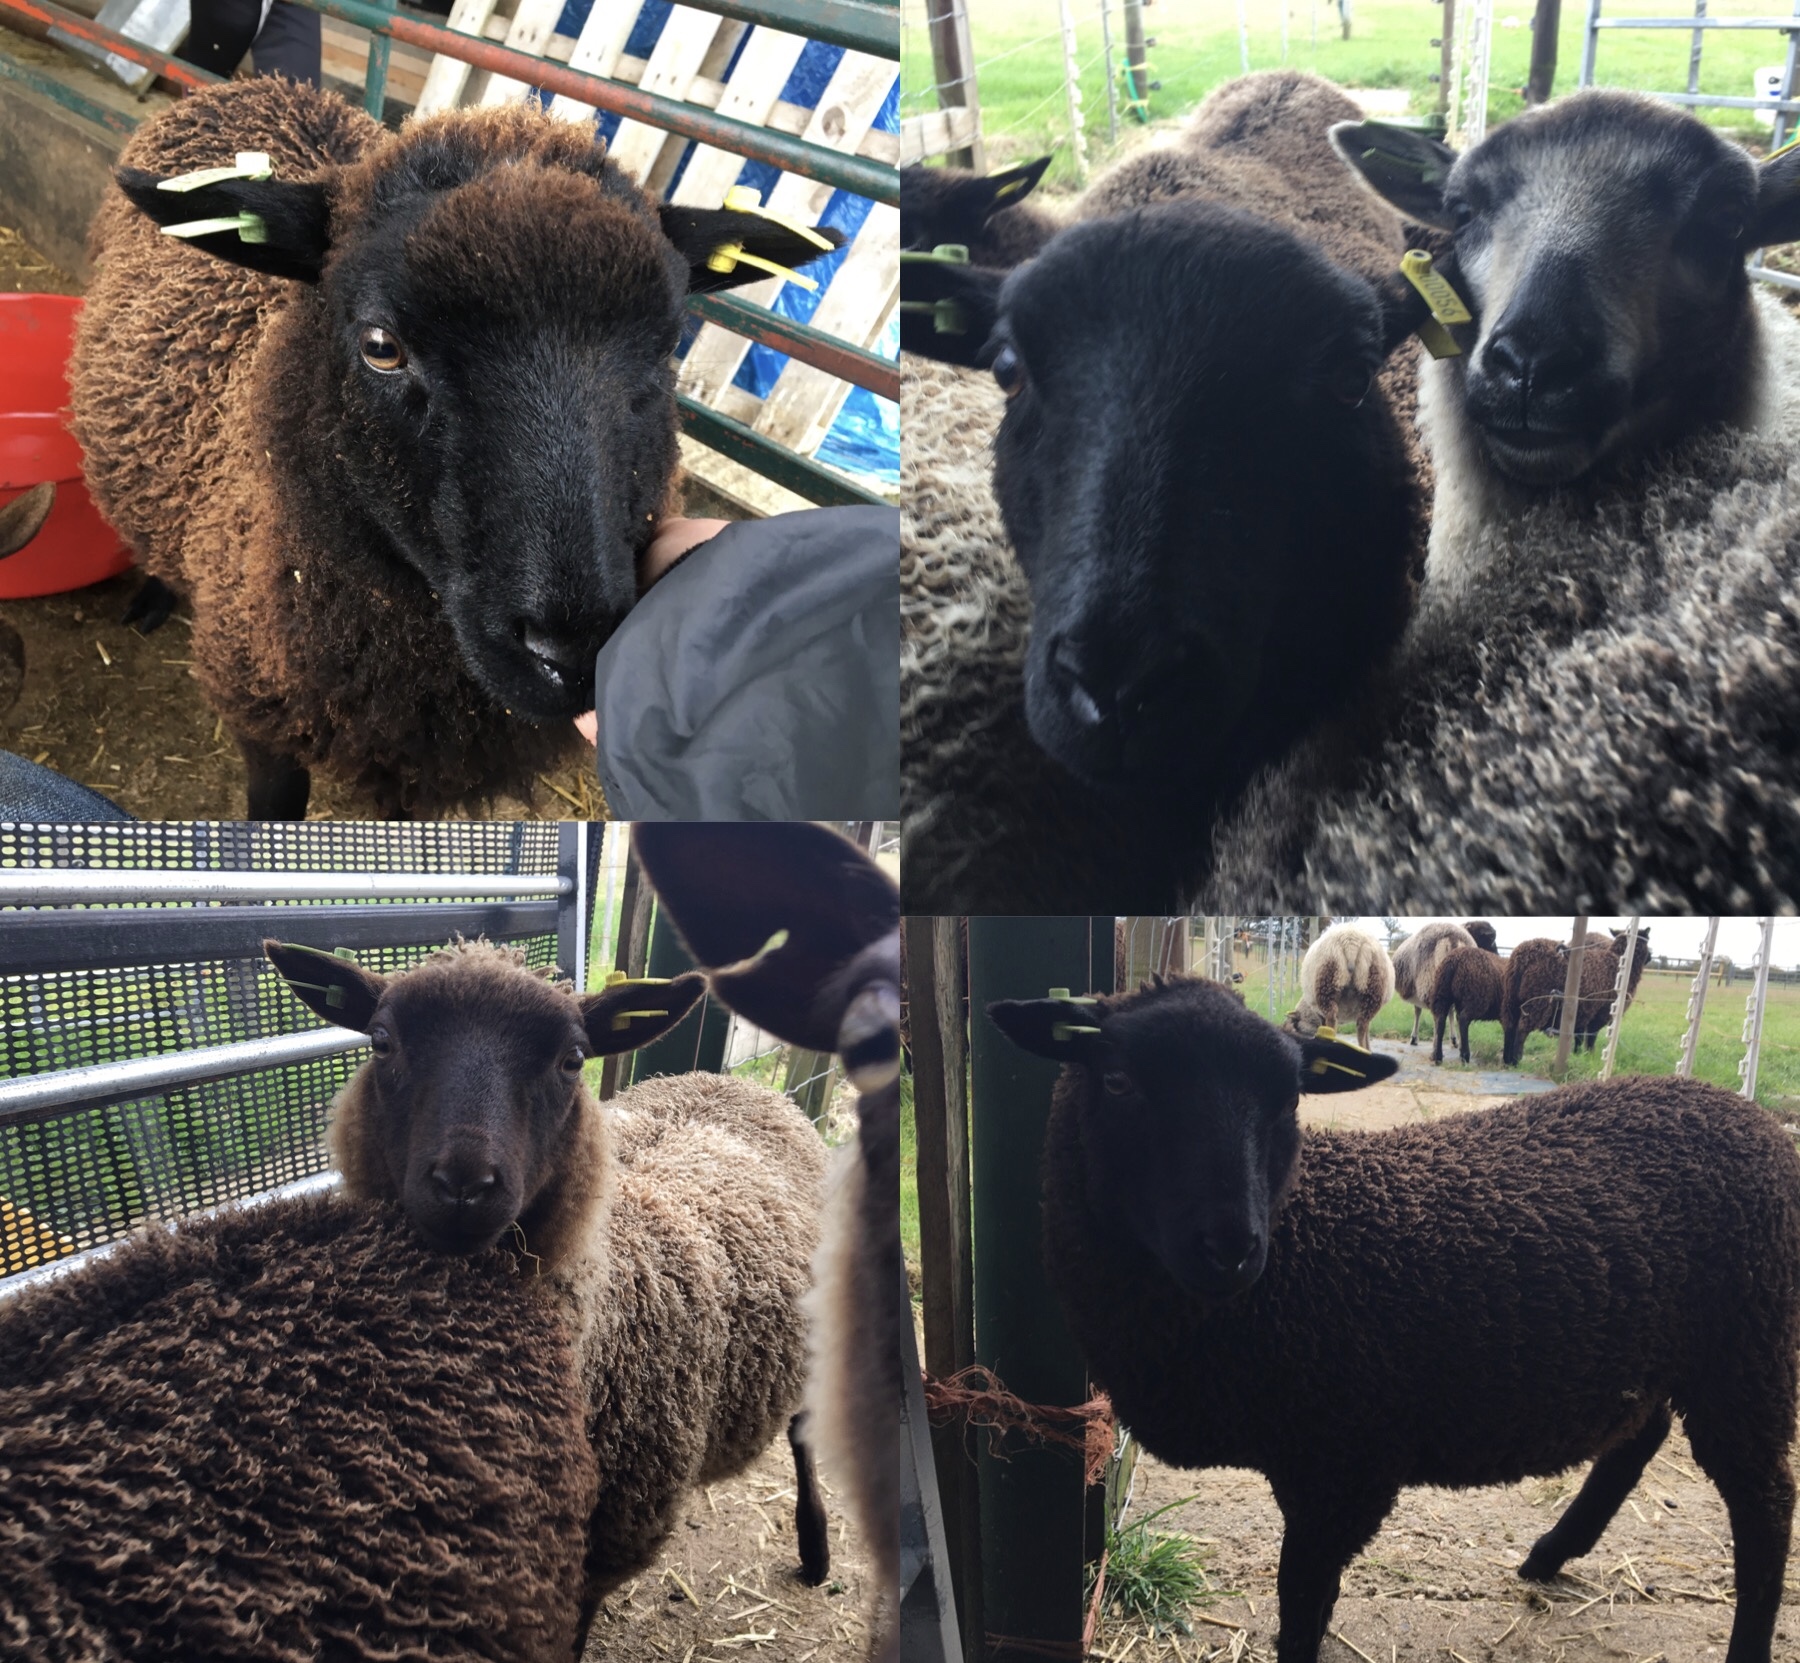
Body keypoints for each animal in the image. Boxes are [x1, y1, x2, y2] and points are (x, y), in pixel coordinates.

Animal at [262, 935, 831, 1633]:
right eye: (381, 1041)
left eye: (573, 1059)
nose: (463, 1185)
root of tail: (737, 1084)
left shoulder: (600, 1555)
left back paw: (816, 1548)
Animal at [988, 973, 1800, 1663]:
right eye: (1119, 1081)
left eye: (1290, 1101)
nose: (1232, 1248)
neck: (1295, 1246)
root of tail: (1754, 1119)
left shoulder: (1345, 1464)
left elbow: (1301, 1608)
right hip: (1666, 1352)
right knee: (1642, 1434)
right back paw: (1547, 1553)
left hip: (1750, 1349)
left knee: (1765, 1503)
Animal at [1281, 921, 1392, 1050]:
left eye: (1294, 1027)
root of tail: (1351, 941)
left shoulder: (1321, 1016)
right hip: (1372, 991)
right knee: (1362, 1026)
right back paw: (1364, 1050)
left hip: (1327, 983)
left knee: (1332, 1023)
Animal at [1500, 927, 1652, 1065]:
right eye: (1646, 940)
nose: (1651, 955)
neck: (1621, 963)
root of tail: (1525, 955)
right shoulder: (1600, 1014)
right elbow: (1591, 1038)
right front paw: (1589, 1056)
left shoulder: (1583, 1012)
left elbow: (1578, 1037)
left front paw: (1577, 1055)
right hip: (1537, 1001)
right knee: (1522, 1029)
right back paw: (1516, 1060)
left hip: (1511, 998)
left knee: (1510, 1026)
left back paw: (1507, 1059)